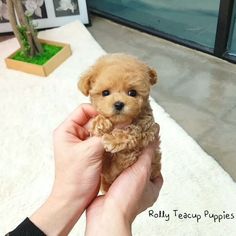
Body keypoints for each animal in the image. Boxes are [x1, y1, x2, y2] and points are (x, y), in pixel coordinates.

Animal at [78, 53, 161, 192]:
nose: (118, 104)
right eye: (105, 92)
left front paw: (113, 140)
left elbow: (135, 130)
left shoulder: (148, 127)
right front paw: (100, 123)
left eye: (132, 92)